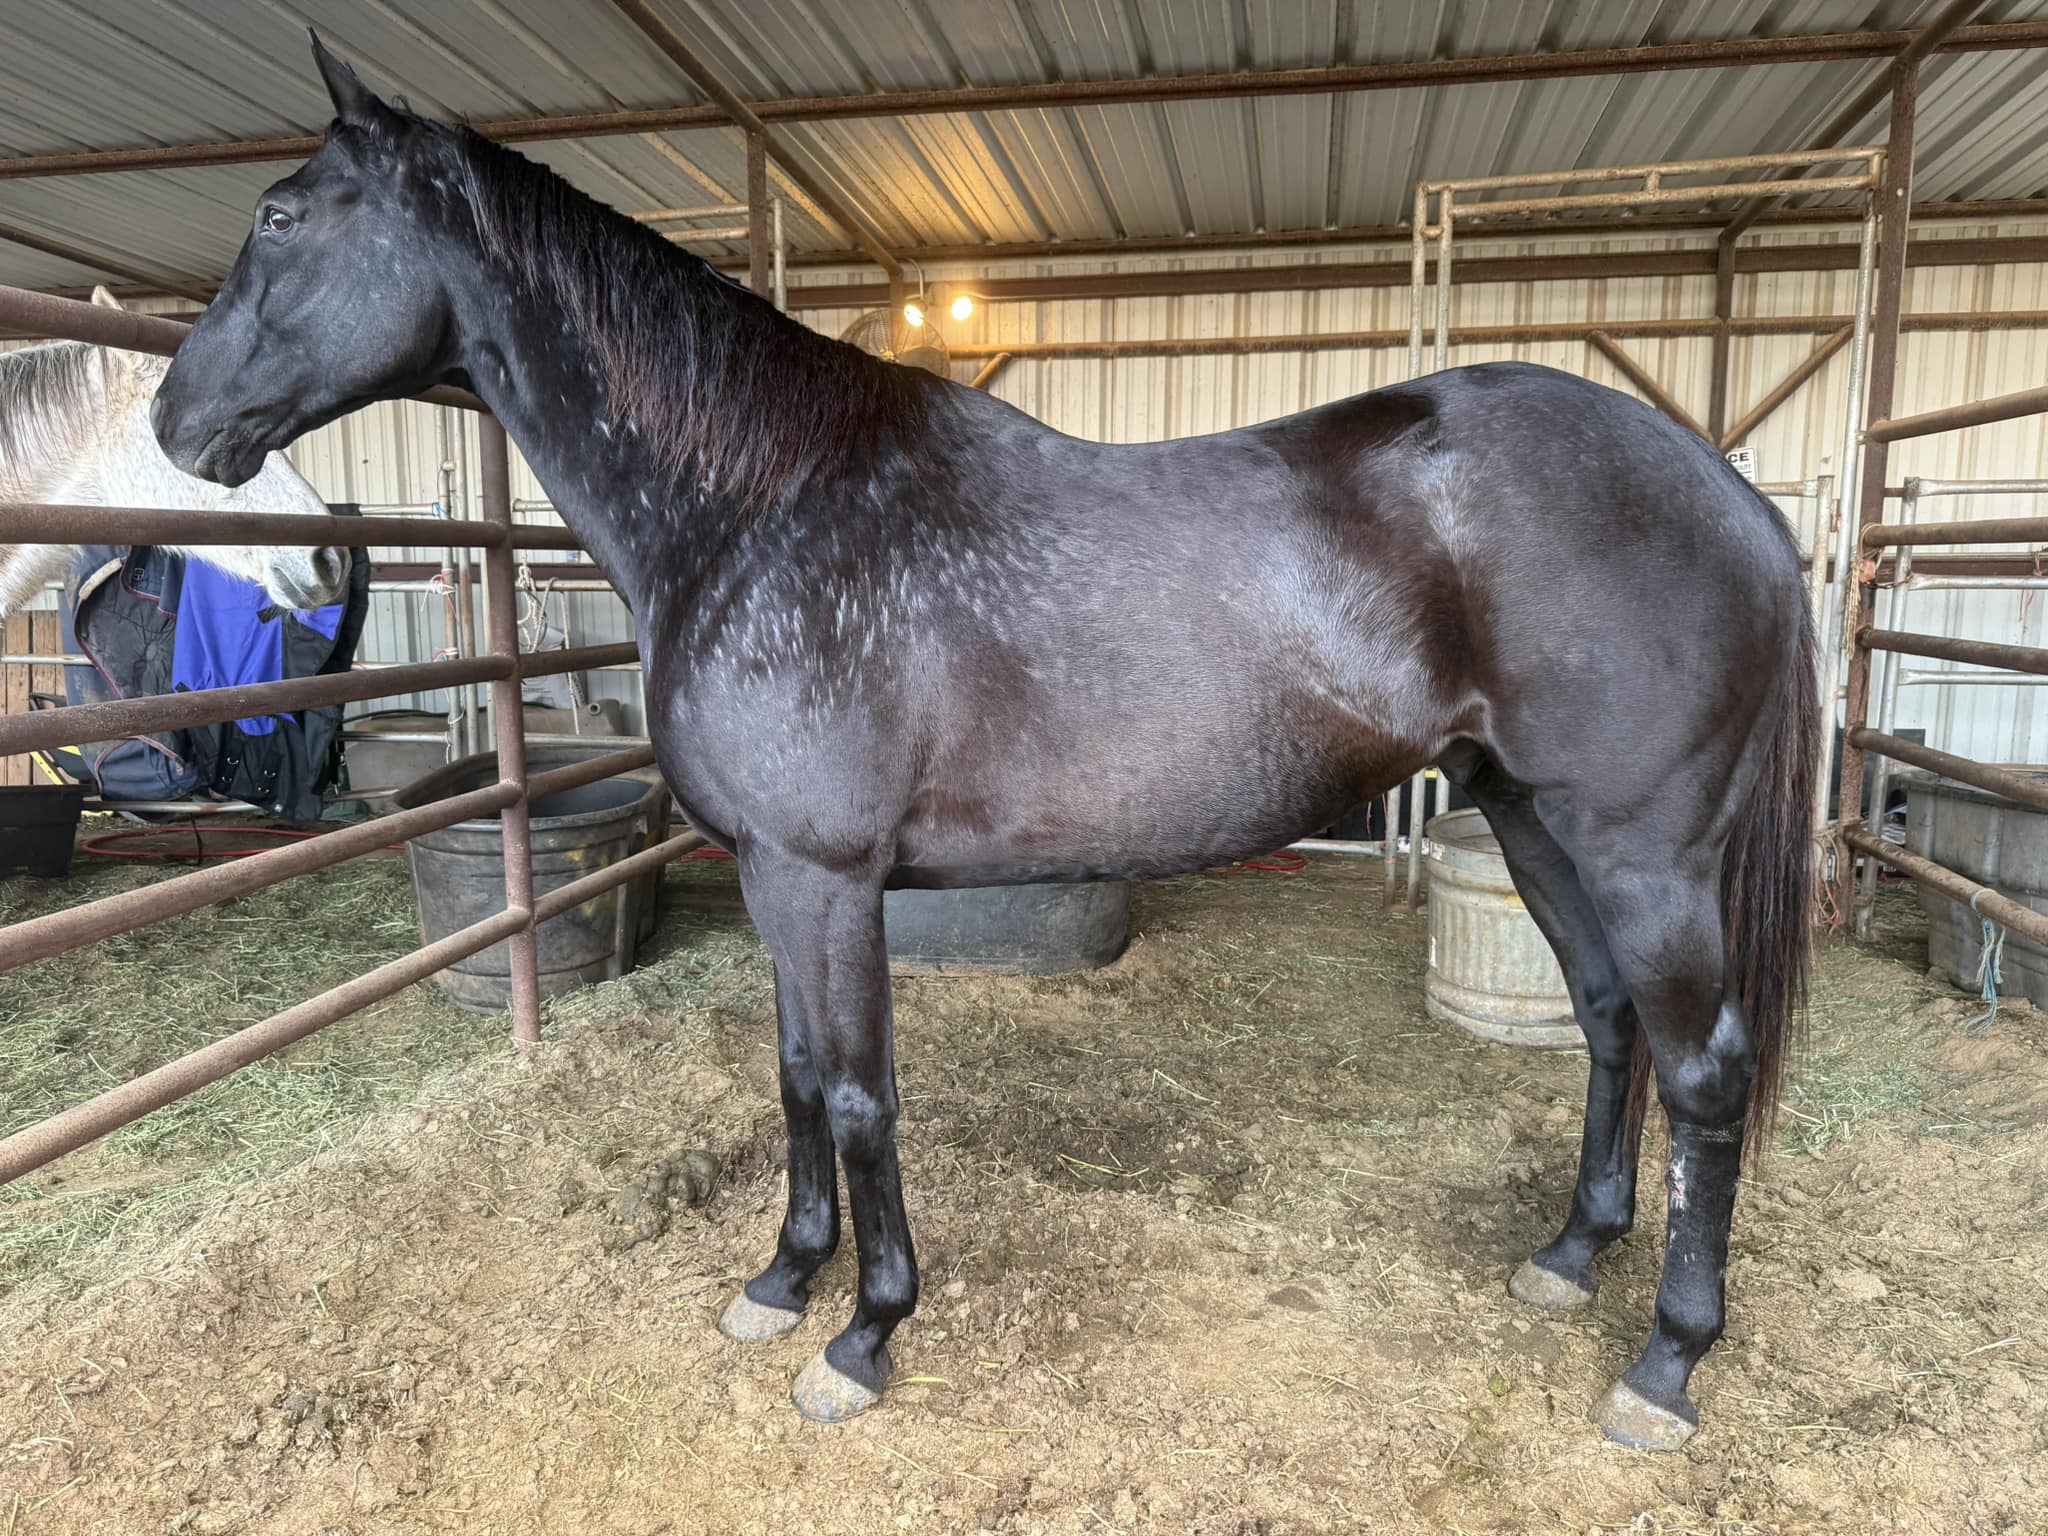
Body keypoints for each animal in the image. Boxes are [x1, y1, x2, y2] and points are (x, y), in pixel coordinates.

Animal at [151, 41, 1820, 1453]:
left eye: (283, 213)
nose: (173, 421)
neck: (761, 503)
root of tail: (1731, 496)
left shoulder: (827, 879)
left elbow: (857, 1095)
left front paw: (865, 1335)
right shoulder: (770, 878)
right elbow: (792, 1077)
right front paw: (780, 1284)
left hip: (1645, 849)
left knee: (1705, 1068)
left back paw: (1665, 1365)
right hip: (1533, 820)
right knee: (1609, 1023)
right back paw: (1568, 1256)